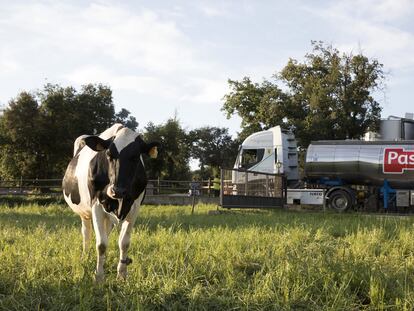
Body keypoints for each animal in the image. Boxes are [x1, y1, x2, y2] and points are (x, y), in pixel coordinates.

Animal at [63, 124, 160, 282]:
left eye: (135, 157)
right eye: (109, 154)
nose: (117, 190)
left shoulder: (134, 208)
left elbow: (124, 243)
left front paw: (121, 275)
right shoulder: (96, 205)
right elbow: (101, 244)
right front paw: (99, 277)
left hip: (108, 216)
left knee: (105, 232)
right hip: (84, 213)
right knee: (87, 233)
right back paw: (85, 257)